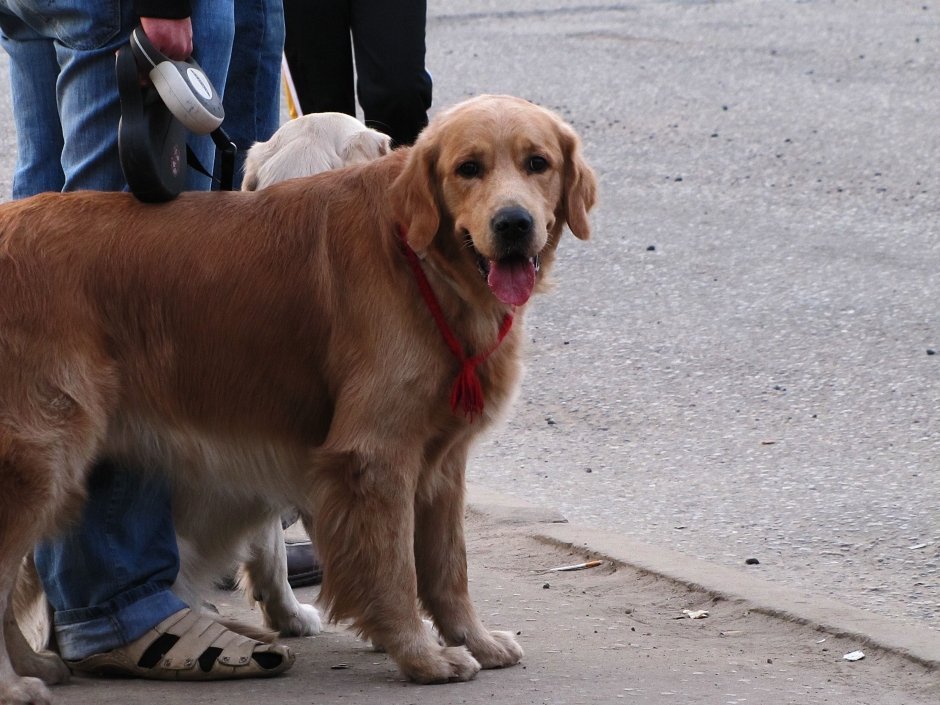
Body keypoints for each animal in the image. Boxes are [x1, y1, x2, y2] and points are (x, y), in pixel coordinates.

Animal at [0, 95, 600, 704]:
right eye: (468, 168)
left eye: (537, 163)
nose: (514, 223)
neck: (418, 259)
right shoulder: (370, 458)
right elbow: (392, 569)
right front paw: (421, 656)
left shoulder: (441, 460)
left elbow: (447, 568)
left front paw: (472, 640)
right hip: (41, 459)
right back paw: (17, 681)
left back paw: (38, 663)